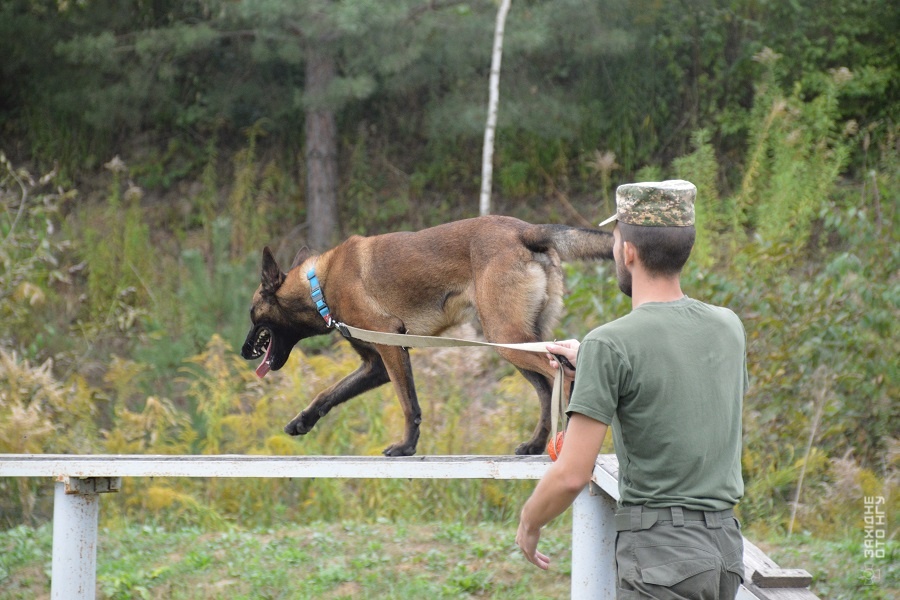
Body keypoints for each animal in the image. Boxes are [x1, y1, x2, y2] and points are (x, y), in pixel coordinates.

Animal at [243, 214, 616, 454]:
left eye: (252, 314)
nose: (244, 351)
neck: (318, 284)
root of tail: (525, 230)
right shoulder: (375, 366)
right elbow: (328, 393)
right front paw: (302, 421)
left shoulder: (391, 348)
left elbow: (409, 404)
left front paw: (406, 446)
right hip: (515, 341)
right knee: (547, 386)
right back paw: (536, 444)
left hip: (508, 338)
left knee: (564, 375)